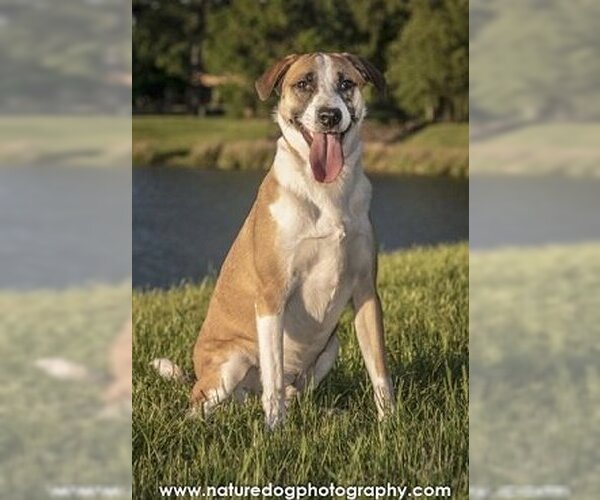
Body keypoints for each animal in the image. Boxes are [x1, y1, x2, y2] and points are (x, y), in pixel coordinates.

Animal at [165, 50, 394, 428]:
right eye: (303, 84)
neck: (326, 190)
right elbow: (272, 373)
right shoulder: (272, 296)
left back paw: (328, 413)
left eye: (346, 83)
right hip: (231, 363)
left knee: (295, 393)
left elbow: (379, 368)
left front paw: (389, 422)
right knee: (201, 404)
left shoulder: (365, 290)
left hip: (331, 345)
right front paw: (274, 431)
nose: (329, 116)